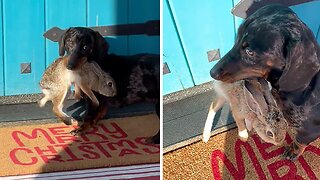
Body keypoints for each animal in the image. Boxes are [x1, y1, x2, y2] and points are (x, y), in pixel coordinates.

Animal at [210, 4, 320, 160]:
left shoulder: (310, 129)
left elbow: (300, 141)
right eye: (236, 39)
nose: (211, 73)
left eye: (250, 52)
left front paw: (293, 151)